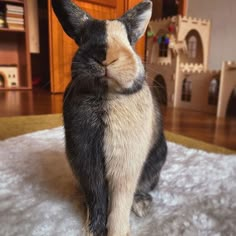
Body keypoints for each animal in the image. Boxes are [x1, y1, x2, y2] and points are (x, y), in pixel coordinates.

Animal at [51, 0, 167, 236]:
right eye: (82, 38)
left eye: (129, 40)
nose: (105, 58)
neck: (106, 95)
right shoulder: (87, 161)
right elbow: (97, 198)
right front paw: (93, 230)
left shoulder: (125, 163)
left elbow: (119, 203)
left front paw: (118, 231)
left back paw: (141, 205)